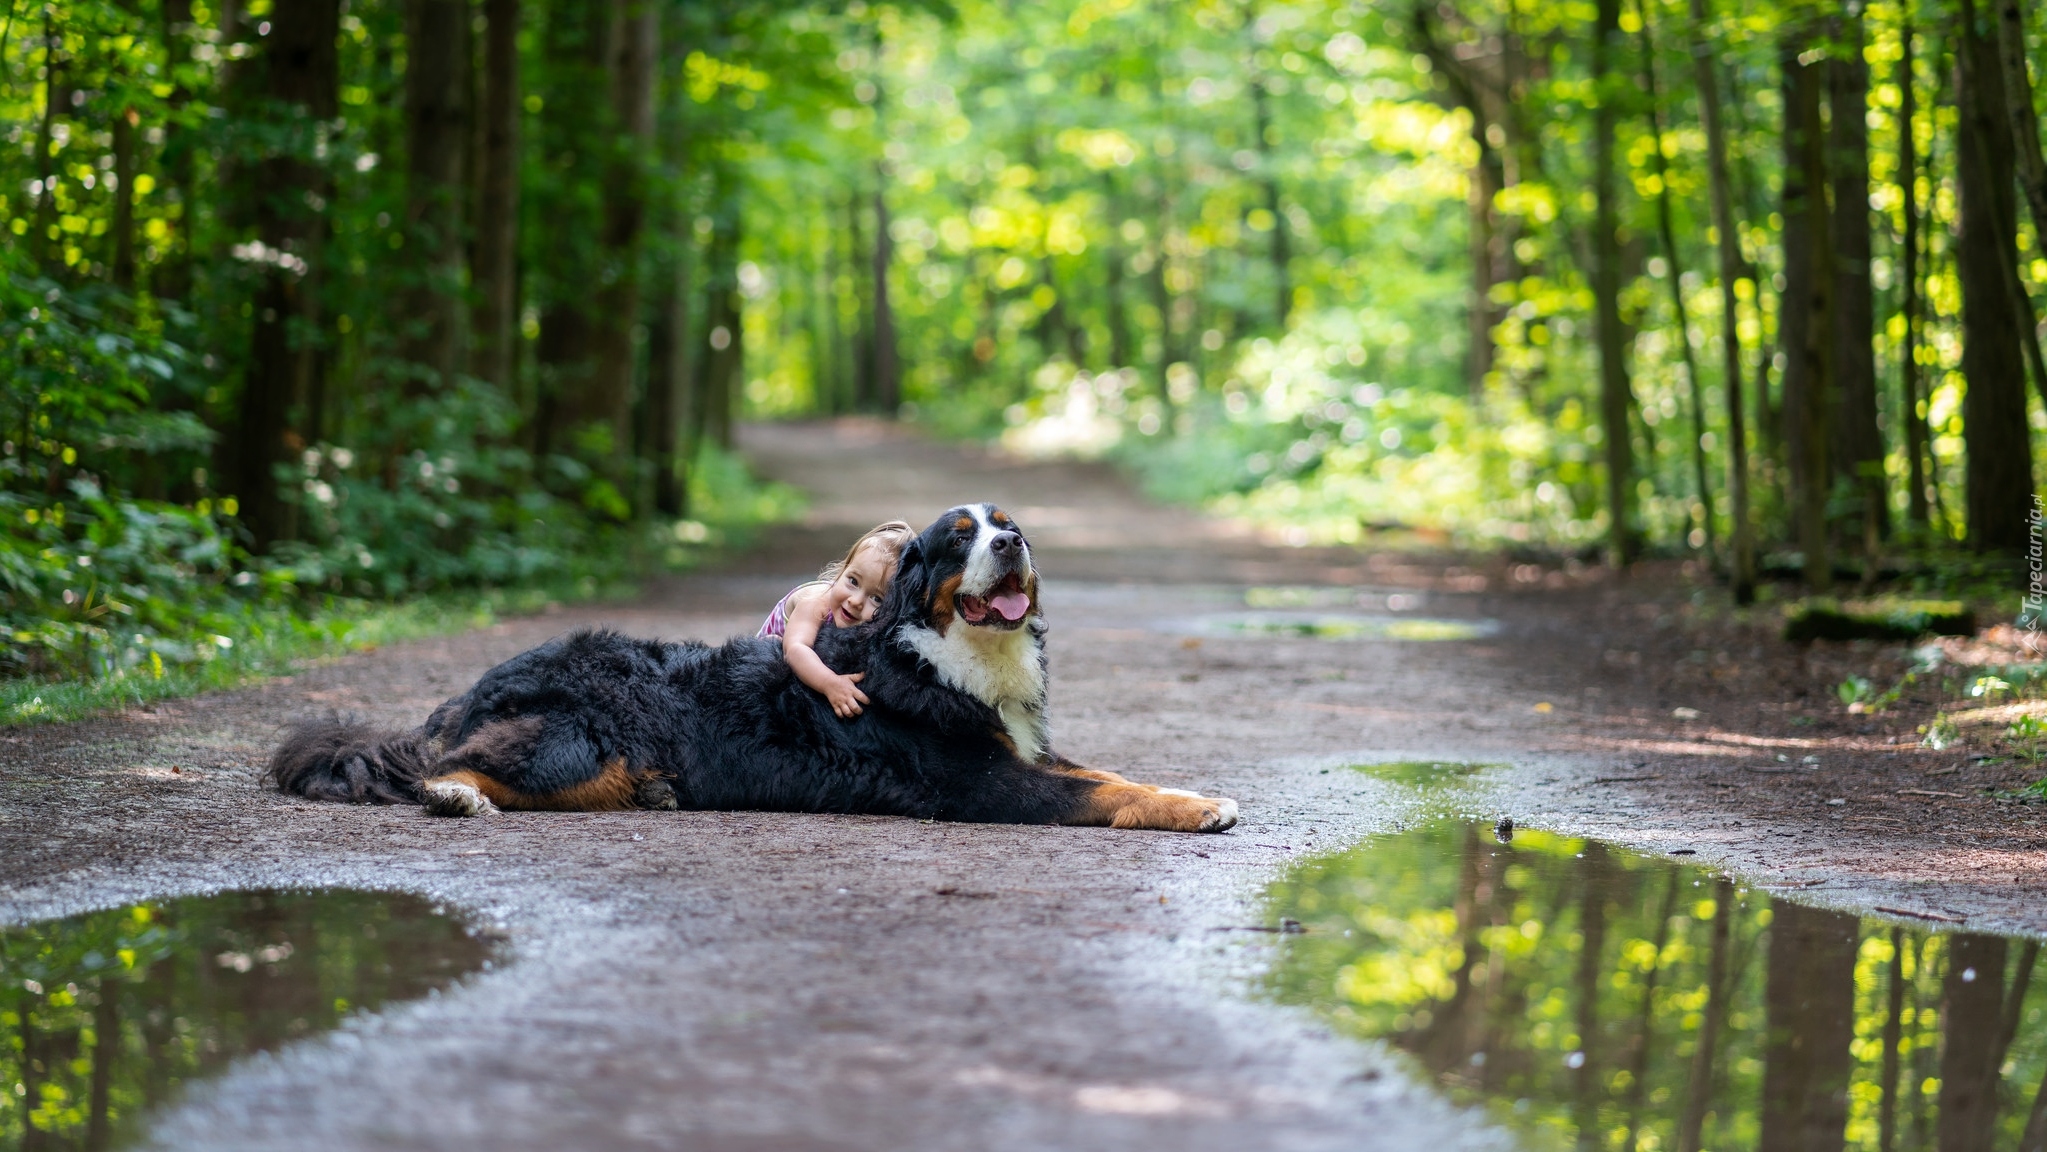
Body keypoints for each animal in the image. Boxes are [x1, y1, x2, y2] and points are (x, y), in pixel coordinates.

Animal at [266, 501, 1236, 834]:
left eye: (1008, 526)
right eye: (959, 537)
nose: (1012, 544)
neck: (953, 658)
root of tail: (471, 689)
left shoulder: (1021, 748)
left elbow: (1112, 774)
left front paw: (1194, 793)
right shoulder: (983, 782)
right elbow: (1100, 794)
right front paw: (1194, 811)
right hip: (582, 731)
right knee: (452, 766)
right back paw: (452, 794)